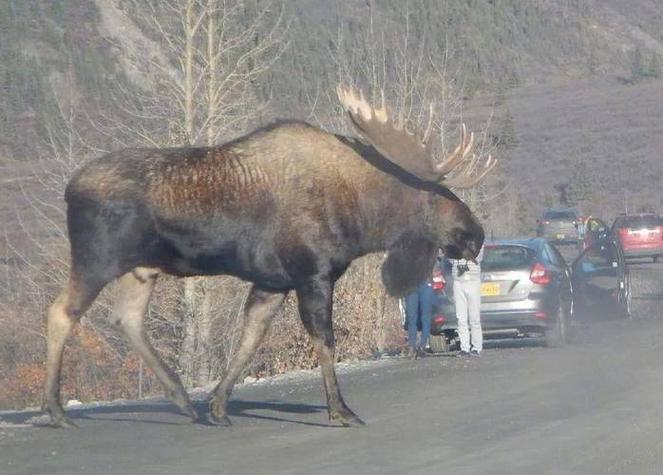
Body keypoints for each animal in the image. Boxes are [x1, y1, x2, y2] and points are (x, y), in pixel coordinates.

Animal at [43, 84, 496, 428]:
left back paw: (183, 400)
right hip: (97, 259)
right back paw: (56, 410)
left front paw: (218, 406)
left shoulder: (272, 282)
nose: (476, 236)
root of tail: (68, 188)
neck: (361, 218)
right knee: (61, 312)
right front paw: (340, 410)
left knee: (127, 319)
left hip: (142, 268)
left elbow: (250, 339)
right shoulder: (312, 275)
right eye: (436, 195)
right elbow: (324, 341)